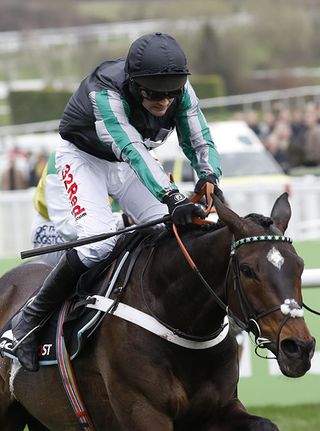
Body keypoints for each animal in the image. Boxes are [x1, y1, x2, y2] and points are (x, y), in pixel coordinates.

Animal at [0, 193, 316, 431]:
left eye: (300, 265)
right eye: (248, 270)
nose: (298, 348)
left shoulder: (219, 408)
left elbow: (265, 424)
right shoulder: (144, 411)